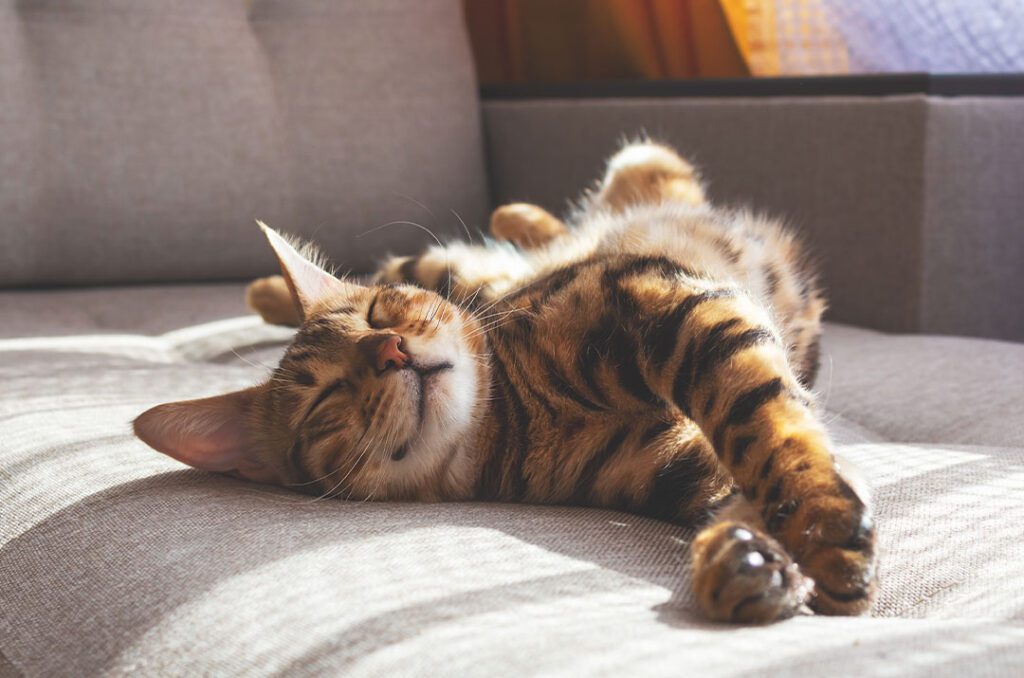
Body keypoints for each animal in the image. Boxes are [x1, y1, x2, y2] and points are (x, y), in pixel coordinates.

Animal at [132, 143, 876, 626]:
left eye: (377, 317)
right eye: (325, 398)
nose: (392, 350)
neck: (518, 417)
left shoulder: (660, 295)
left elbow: (765, 425)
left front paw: (819, 526)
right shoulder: (677, 462)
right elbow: (743, 479)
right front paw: (749, 561)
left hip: (550, 223)